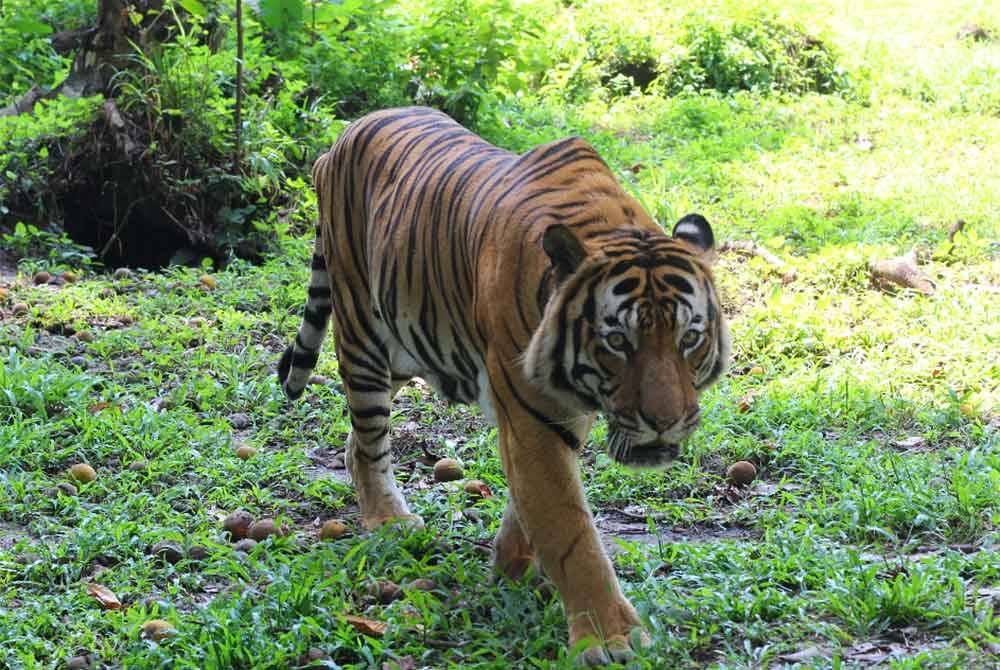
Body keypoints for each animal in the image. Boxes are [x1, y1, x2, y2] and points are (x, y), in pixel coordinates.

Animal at [278, 106, 732, 668]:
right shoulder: (533, 413)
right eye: (618, 341)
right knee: (368, 437)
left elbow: (529, 501)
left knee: (355, 441)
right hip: (363, 333)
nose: (665, 423)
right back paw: (388, 520)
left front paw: (514, 565)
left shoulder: (559, 413)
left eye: (689, 337)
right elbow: (569, 527)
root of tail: (339, 140)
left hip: (406, 343)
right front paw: (612, 638)